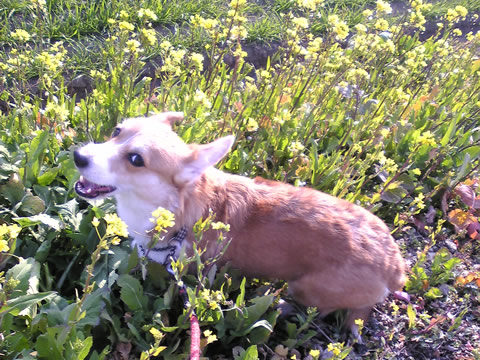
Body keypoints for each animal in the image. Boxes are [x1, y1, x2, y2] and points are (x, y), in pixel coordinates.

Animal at [74, 111, 404, 336]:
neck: (175, 208)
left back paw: (286, 307)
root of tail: (396, 266)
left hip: (306, 286)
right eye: (117, 130)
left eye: (136, 159)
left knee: (326, 308)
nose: (78, 156)